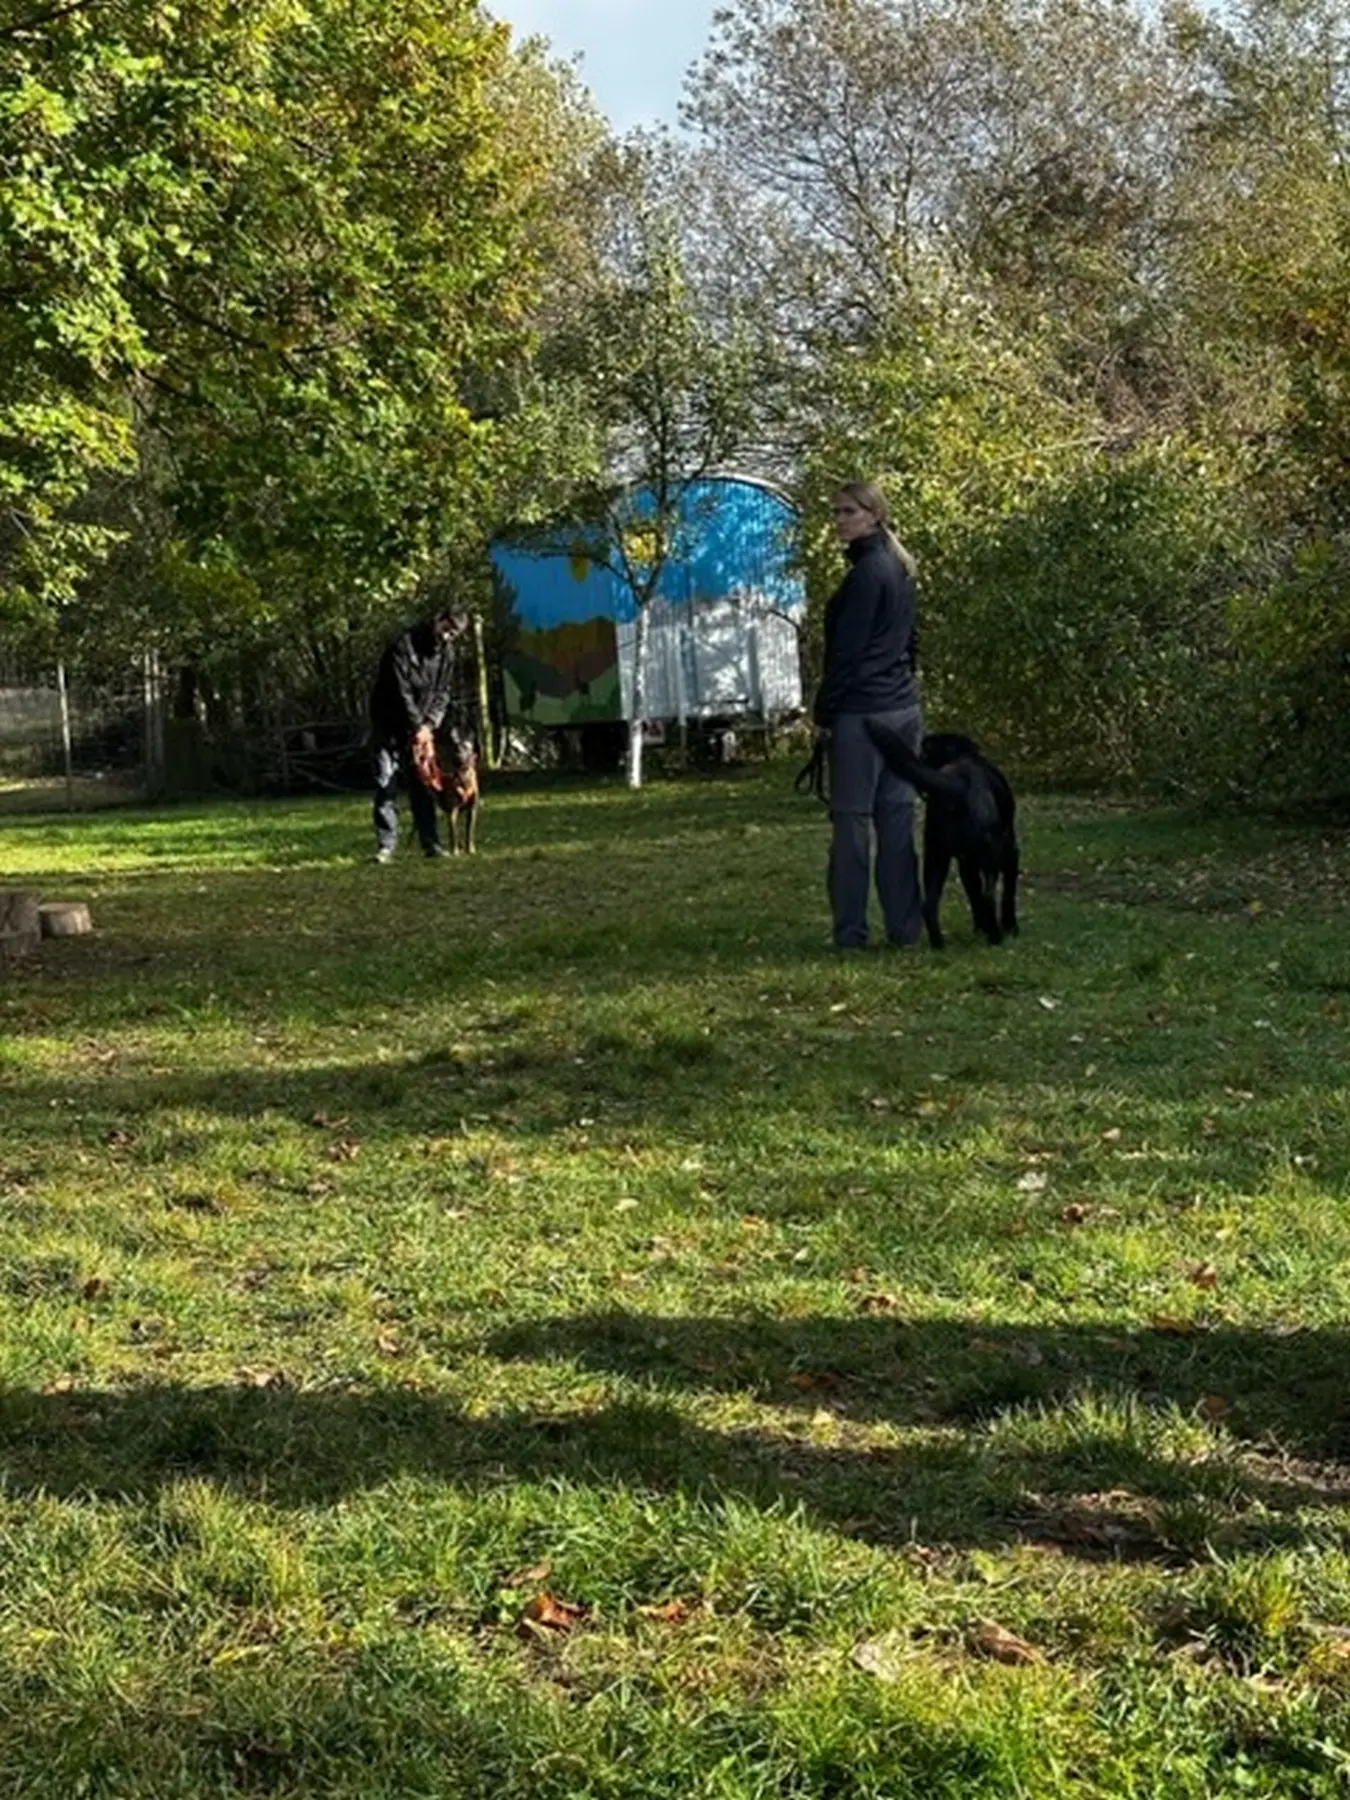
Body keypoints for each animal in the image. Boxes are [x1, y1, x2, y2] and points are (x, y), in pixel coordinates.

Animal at [867, 720, 1015, 950]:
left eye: (926, 754)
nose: (919, 758)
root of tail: (958, 783)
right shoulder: (1010, 851)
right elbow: (1009, 892)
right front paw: (1011, 928)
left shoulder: (965, 863)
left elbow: (973, 893)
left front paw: (979, 928)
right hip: (989, 856)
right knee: (988, 898)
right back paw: (996, 938)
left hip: (936, 855)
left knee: (930, 905)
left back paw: (939, 943)